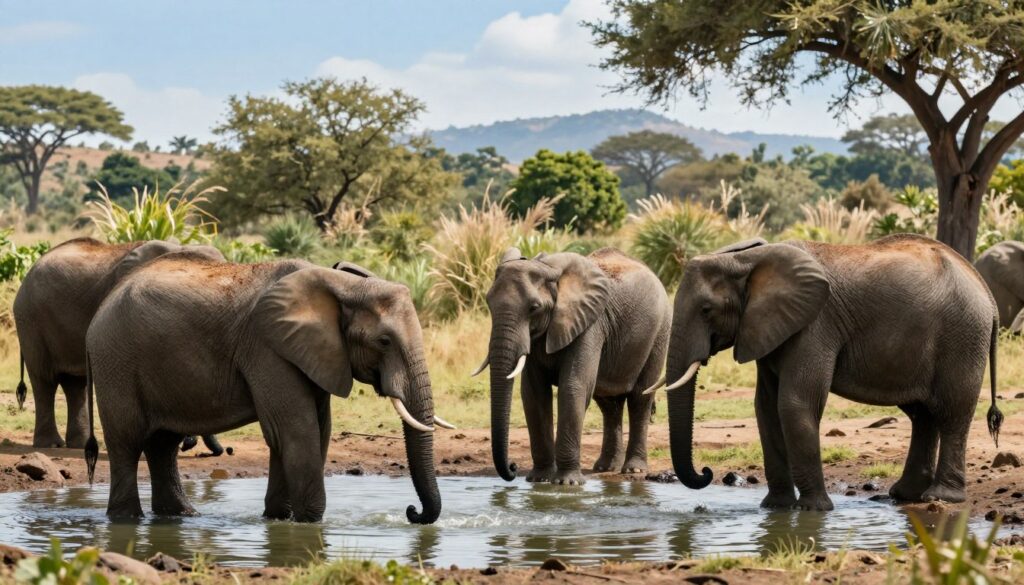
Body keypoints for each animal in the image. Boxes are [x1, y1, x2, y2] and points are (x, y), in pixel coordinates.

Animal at [13, 237, 224, 454]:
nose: (189, 444)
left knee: (75, 385)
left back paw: (78, 445)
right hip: (30, 319)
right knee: (44, 380)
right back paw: (51, 444)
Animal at [83, 253, 452, 522]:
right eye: (384, 341)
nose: (412, 511)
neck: (342, 285)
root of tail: (101, 307)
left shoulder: (314, 353)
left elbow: (316, 430)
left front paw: (277, 518)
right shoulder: (268, 349)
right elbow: (296, 430)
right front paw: (309, 522)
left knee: (163, 445)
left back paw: (181, 516)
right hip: (116, 360)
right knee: (127, 442)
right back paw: (127, 519)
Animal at [477, 247, 670, 485]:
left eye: (534, 308)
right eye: (489, 303)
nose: (513, 467)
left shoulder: (590, 324)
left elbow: (572, 387)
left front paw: (566, 483)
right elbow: (533, 394)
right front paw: (539, 480)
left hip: (660, 332)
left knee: (639, 399)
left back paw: (633, 470)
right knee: (609, 404)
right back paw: (605, 467)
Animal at [648, 235, 1002, 510]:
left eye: (706, 310)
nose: (707, 472)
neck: (747, 259)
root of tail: (986, 291)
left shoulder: (815, 325)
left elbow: (794, 404)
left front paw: (814, 510)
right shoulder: (769, 327)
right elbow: (766, 408)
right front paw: (775, 509)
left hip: (963, 336)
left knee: (952, 412)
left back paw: (941, 497)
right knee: (922, 415)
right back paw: (905, 495)